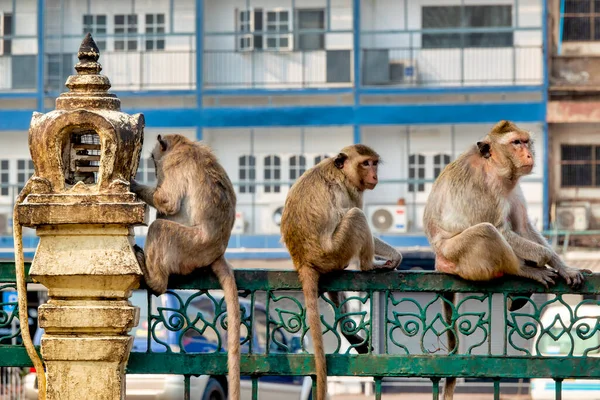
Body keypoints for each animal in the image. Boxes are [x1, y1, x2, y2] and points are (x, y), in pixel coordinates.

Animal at [131, 134, 241, 400]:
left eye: (153, 160)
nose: (155, 171)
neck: (184, 145)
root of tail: (217, 251)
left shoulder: (175, 166)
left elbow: (167, 202)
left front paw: (133, 185)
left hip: (189, 246)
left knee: (160, 227)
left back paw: (155, 279)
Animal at [280, 145, 404, 400]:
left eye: (374, 163)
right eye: (366, 163)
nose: (374, 175)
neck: (341, 171)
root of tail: (302, 260)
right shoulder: (352, 192)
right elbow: (351, 213)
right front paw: (394, 256)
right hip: (335, 250)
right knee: (356, 216)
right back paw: (369, 265)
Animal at [422, 119, 592, 400]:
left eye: (525, 142)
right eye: (515, 143)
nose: (529, 154)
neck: (497, 170)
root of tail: (438, 260)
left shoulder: (514, 189)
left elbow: (523, 226)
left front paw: (564, 266)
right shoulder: (482, 188)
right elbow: (500, 230)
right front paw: (544, 260)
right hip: (458, 255)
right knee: (486, 231)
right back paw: (523, 270)